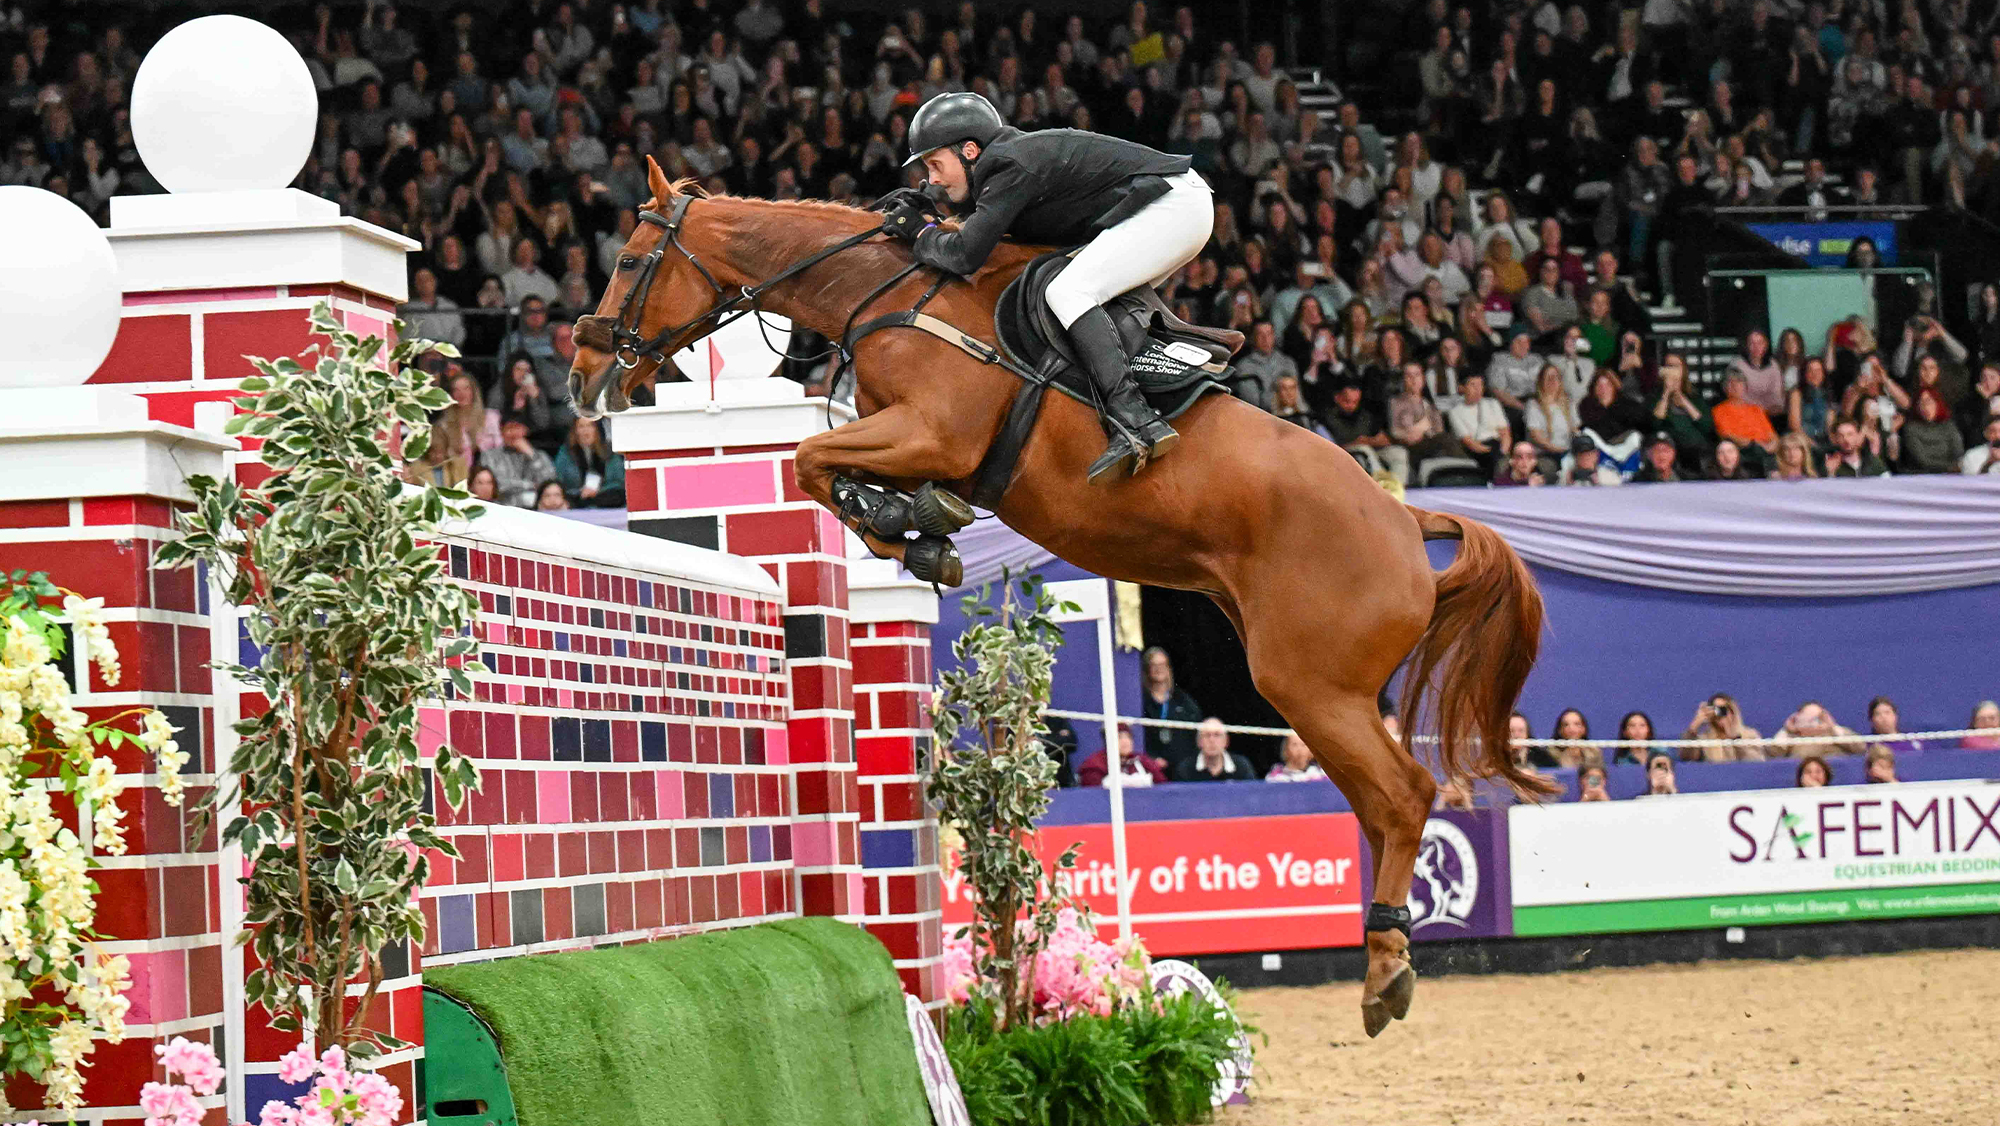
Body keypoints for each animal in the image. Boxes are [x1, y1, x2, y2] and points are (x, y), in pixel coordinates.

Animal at [569, 158, 1548, 1036]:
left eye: (630, 260)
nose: (583, 374)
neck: (886, 290)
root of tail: (1404, 521)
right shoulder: (903, 436)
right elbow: (826, 467)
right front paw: (918, 531)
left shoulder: (932, 433)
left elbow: (814, 460)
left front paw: (911, 527)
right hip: (1319, 693)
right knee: (1380, 803)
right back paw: (1388, 954)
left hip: (1310, 684)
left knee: (1403, 795)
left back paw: (1385, 972)